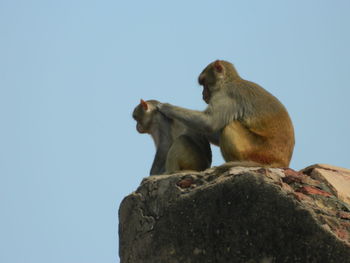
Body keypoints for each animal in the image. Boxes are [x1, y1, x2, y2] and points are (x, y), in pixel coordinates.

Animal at [157, 60, 294, 168]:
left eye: (204, 82)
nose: (203, 95)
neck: (227, 81)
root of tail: (282, 162)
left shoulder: (227, 95)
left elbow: (209, 122)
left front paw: (166, 107)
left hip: (257, 152)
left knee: (229, 126)